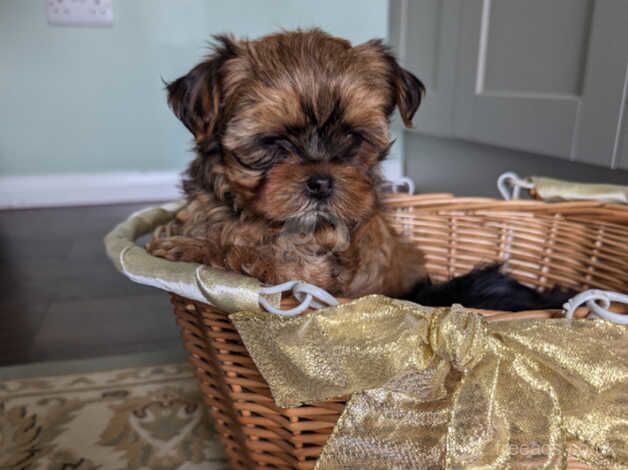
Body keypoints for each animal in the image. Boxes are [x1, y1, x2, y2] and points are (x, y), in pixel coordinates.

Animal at [148, 30, 426, 298]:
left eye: (352, 137)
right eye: (274, 141)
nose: (321, 183)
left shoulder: (310, 271)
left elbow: (241, 254)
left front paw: (188, 247)